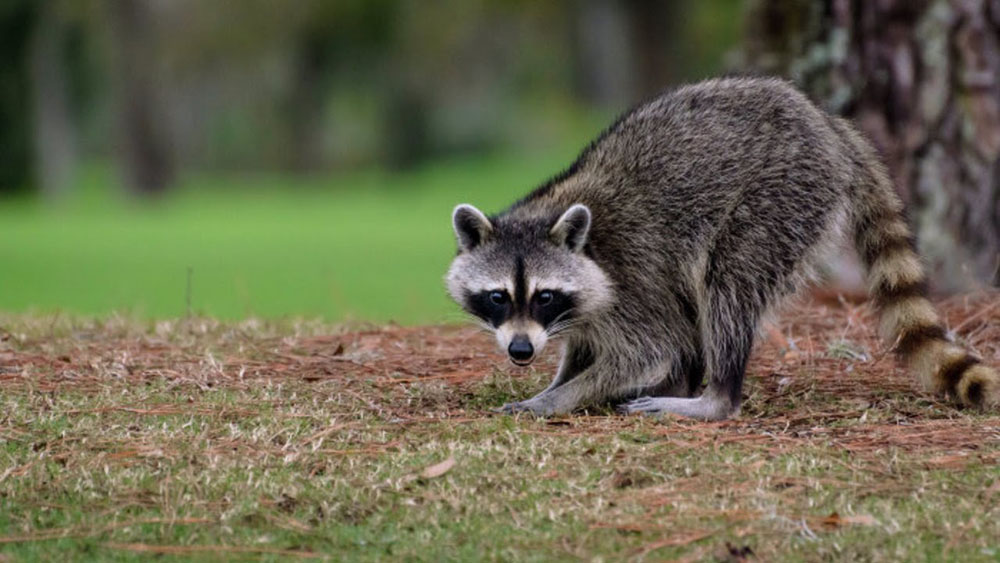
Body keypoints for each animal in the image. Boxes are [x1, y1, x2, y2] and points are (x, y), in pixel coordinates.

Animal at [448, 76, 1000, 418]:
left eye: (543, 296)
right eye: (498, 297)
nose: (520, 351)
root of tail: (829, 125)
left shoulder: (631, 279)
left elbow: (651, 348)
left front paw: (558, 399)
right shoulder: (586, 304)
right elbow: (583, 344)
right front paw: (556, 382)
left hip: (782, 194)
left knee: (728, 285)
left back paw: (714, 397)